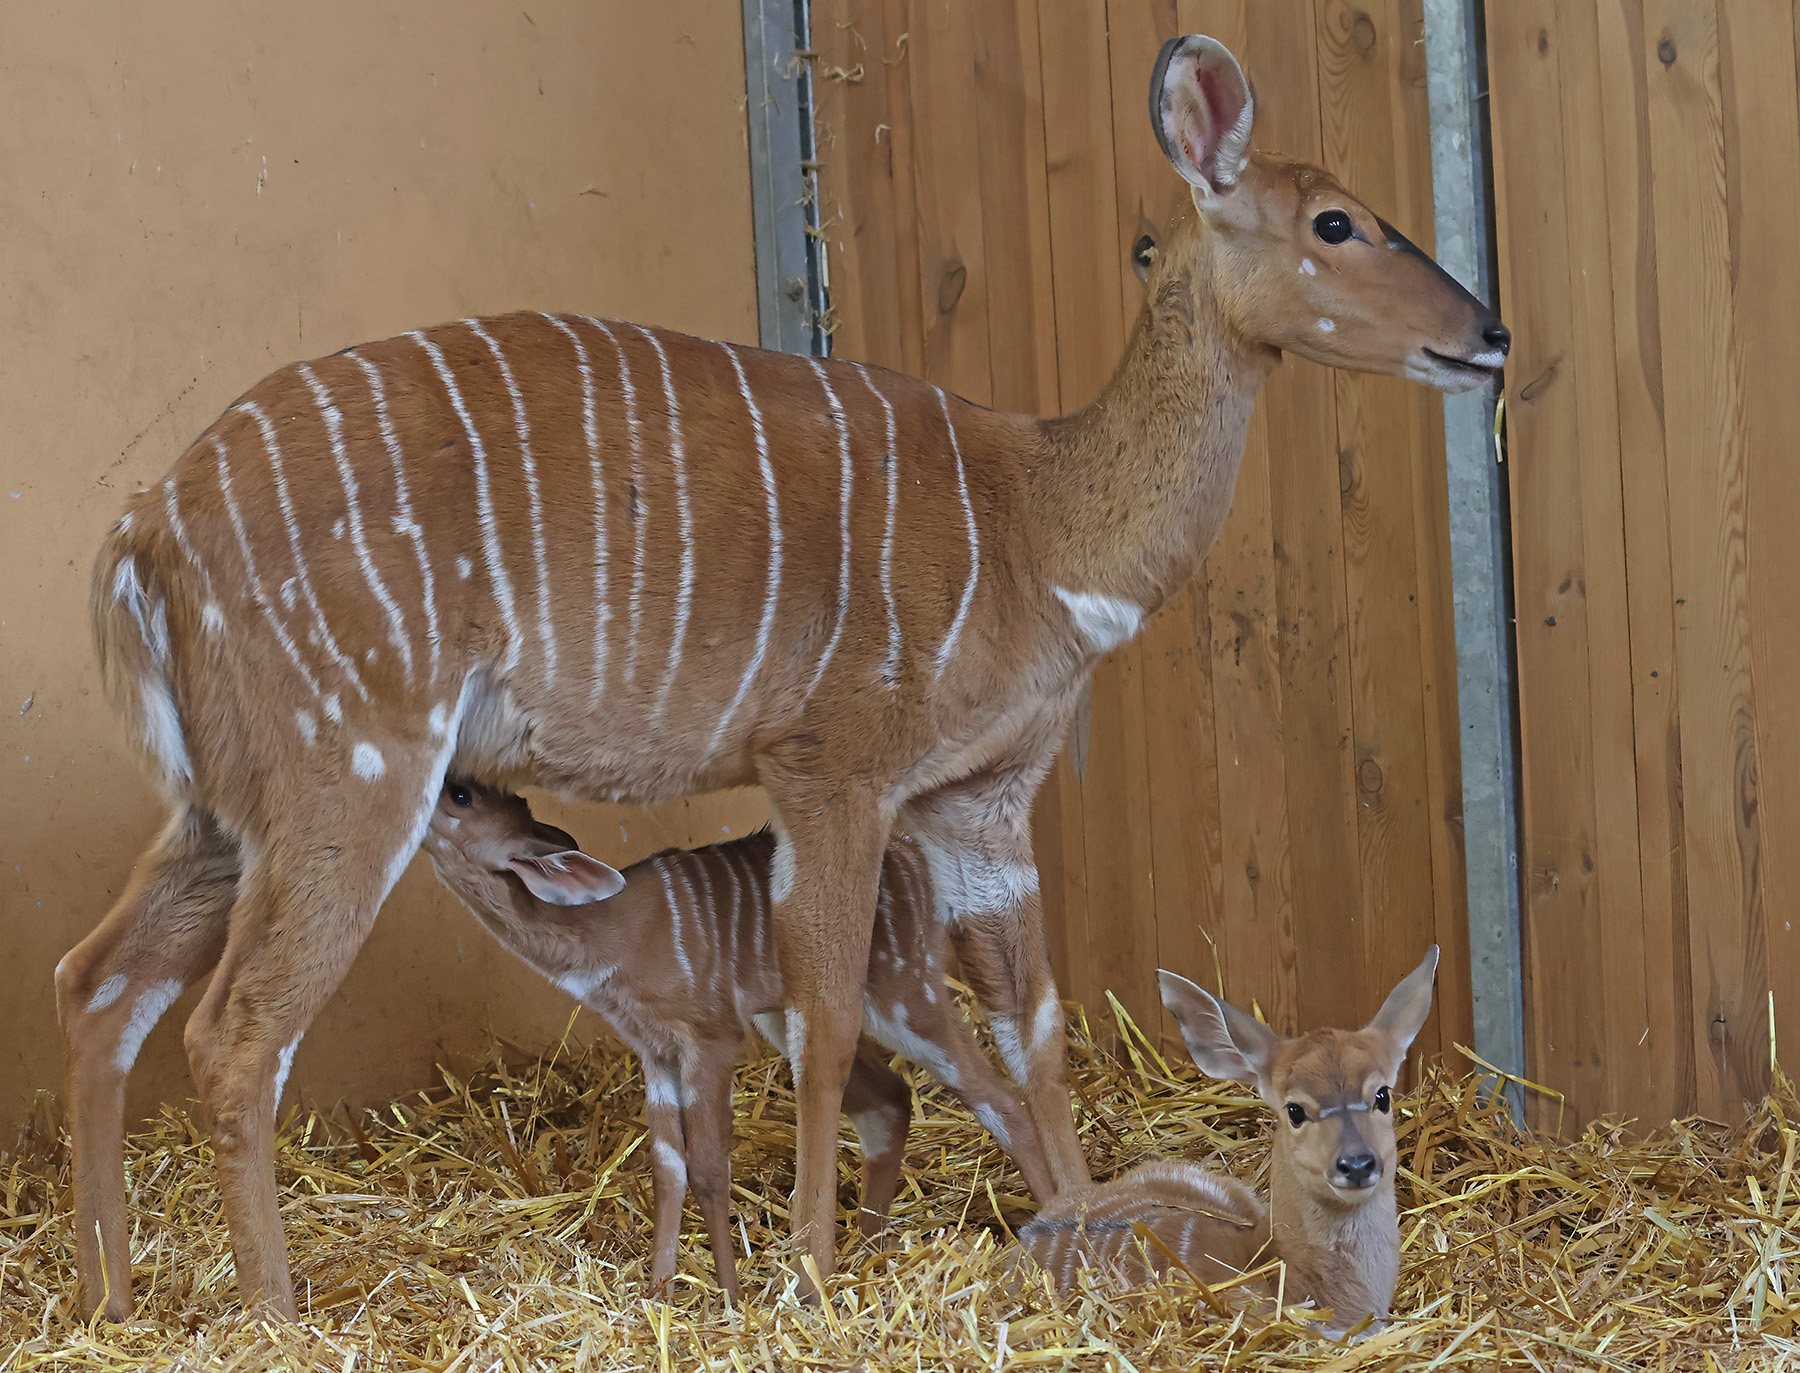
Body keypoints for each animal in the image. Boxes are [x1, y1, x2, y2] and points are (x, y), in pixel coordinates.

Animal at [421, 777, 1051, 1302]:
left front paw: (727, 1296)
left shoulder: (710, 1038)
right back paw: (867, 1247)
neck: (606, 933)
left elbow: (708, 1170)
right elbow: (667, 1168)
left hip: (905, 990)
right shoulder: (655, 1051)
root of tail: (918, 865)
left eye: (460, 795)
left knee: (997, 1096)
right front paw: (658, 1295)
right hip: (796, 1015)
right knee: (891, 1101)